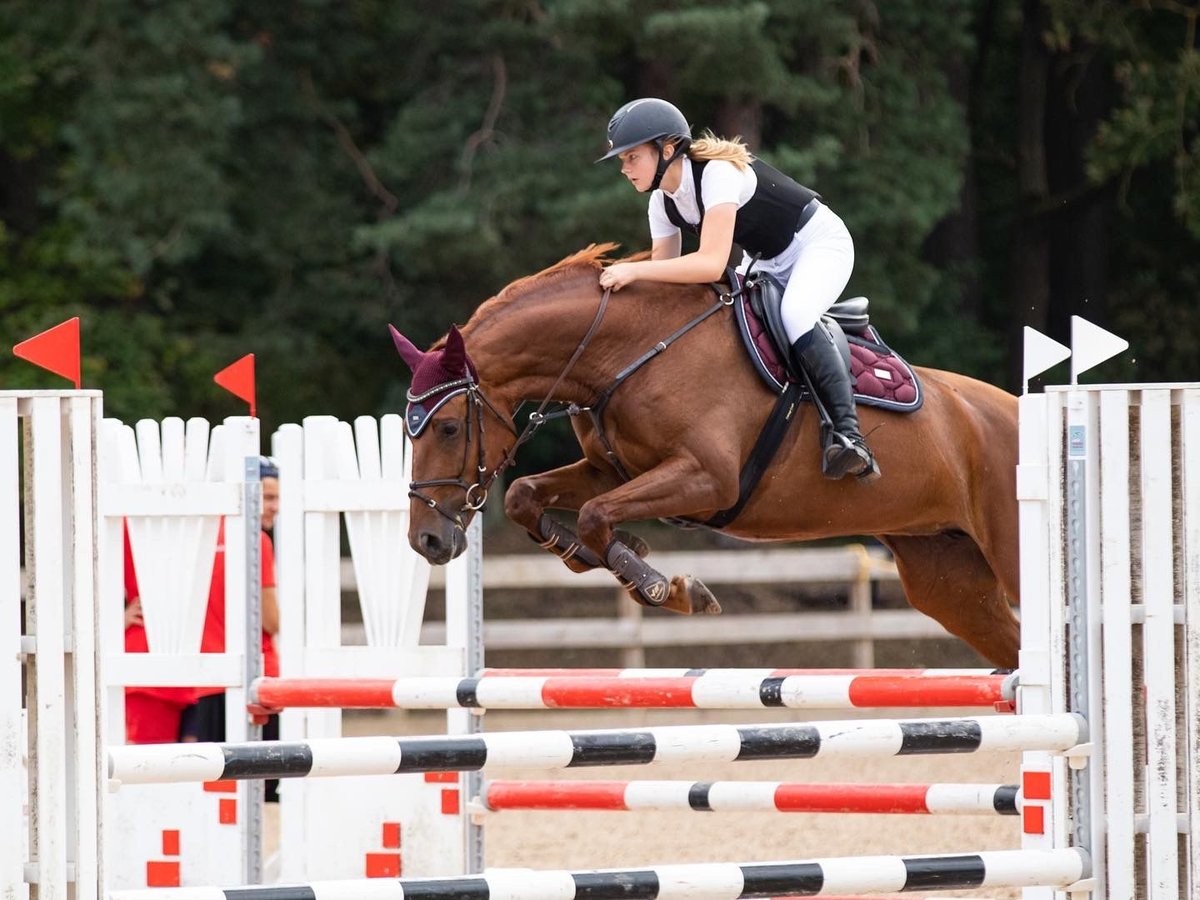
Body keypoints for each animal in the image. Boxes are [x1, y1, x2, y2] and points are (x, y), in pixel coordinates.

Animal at [393, 247, 1022, 672]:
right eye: (408, 432)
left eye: (448, 427)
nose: (427, 541)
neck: (626, 351)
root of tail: (1015, 409)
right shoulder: (611, 470)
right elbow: (529, 495)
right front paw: (592, 553)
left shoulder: (708, 479)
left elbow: (598, 514)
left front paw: (661, 586)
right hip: (946, 578)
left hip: (1007, 554)